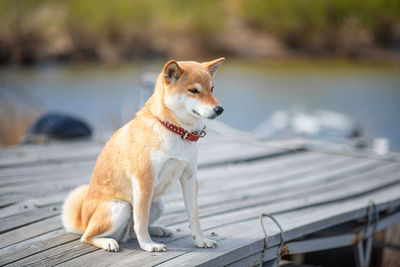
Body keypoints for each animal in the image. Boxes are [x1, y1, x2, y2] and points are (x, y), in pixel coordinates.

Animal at [62, 58, 225, 253]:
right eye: (194, 90)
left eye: (212, 88)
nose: (219, 109)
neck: (175, 129)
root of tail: (83, 220)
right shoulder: (144, 180)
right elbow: (141, 219)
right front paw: (148, 245)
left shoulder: (189, 177)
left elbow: (193, 215)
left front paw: (200, 240)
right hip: (121, 207)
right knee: (88, 236)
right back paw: (108, 242)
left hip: (158, 203)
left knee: (131, 230)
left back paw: (158, 229)